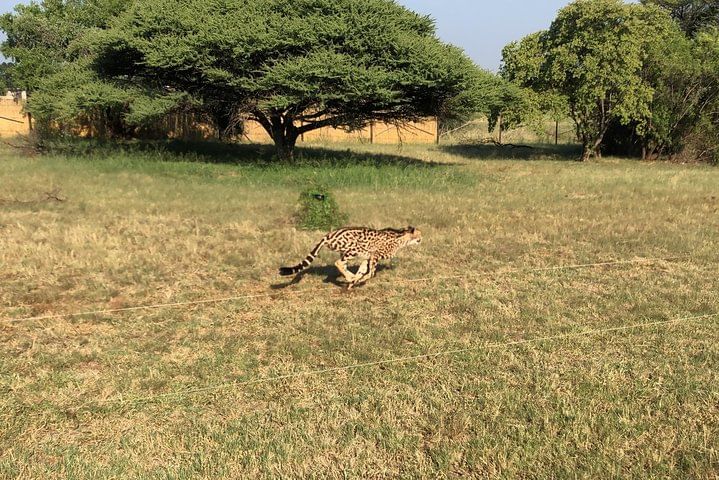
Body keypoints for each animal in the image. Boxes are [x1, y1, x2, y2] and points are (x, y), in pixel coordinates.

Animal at [279, 226, 422, 289]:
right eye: (419, 234)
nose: (422, 239)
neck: (401, 237)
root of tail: (328, 235)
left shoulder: (367, 258)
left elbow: (362, 270)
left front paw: (355, 281)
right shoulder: (375, 255)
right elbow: (370, 273)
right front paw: (358, 280)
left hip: (345, 252)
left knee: (342, 264)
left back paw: (350, 277)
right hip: (353, 249)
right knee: (338, 263)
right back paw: (350, 277)